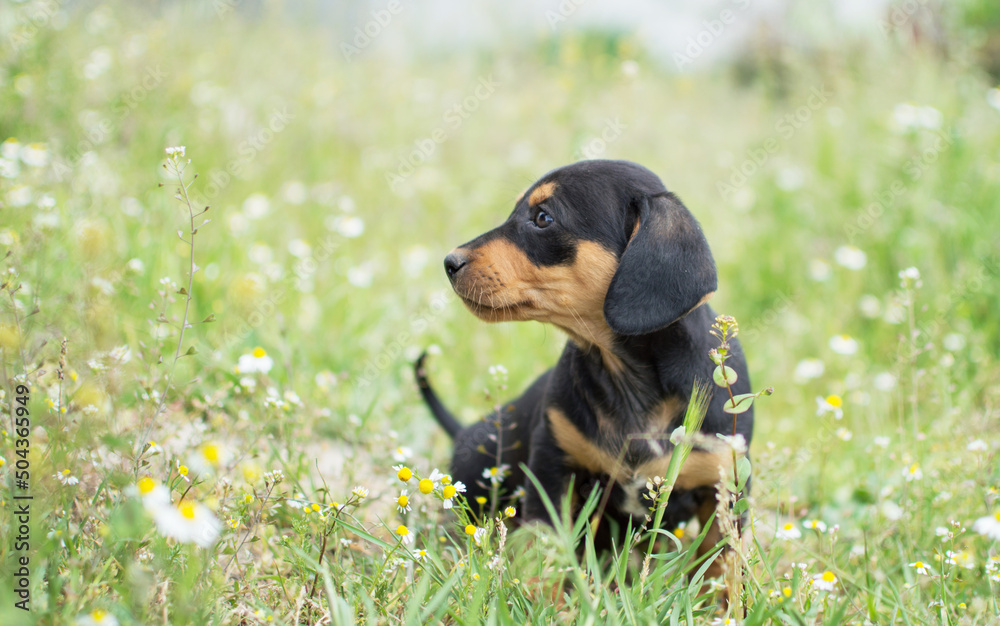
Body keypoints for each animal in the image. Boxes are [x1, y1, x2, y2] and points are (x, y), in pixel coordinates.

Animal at [414, 158, 752, 572]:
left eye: (543, 218)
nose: (449, 262)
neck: (628, 380)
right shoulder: (553, 466)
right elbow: (545, 550)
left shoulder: (724, 485)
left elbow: (720, 567)